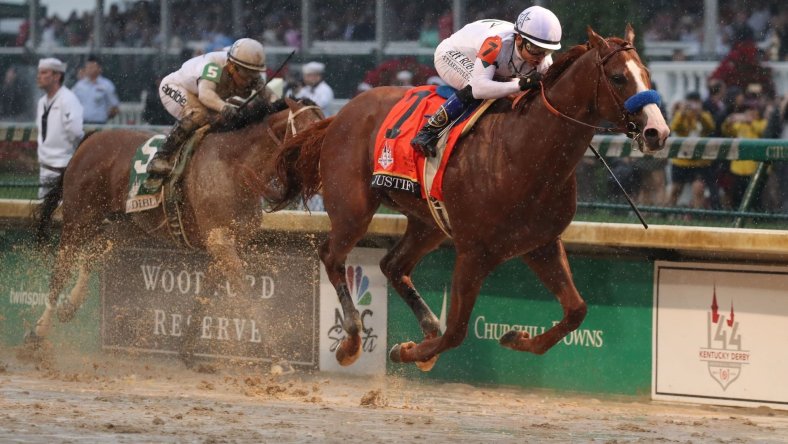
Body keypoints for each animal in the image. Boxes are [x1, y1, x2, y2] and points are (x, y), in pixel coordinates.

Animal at [28, 97, 324, 350]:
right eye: (308, 129)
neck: (235, 166)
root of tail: (91, 139)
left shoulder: (227, 245)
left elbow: (206, 293)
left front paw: (188, 349)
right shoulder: (220, 241)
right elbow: (245, 294)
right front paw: (275, 357)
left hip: (131, 225)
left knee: (95, 251)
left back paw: (69, 307)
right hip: (80, 217)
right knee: (61, 268)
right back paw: (38, 331)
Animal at [272, 26, 672, 370]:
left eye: (647, 74)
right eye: (618, 77)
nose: (658, 132)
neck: (523, 150)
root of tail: (341, 113)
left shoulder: (541, 244)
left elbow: (577, 311)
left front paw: (515, 338)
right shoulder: (473, 252)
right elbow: (457, 332)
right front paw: (408, 351)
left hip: (429, 223)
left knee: (393, 265)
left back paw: (424, 327)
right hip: (353, 207)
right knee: (332, 255)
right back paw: (353, 340)